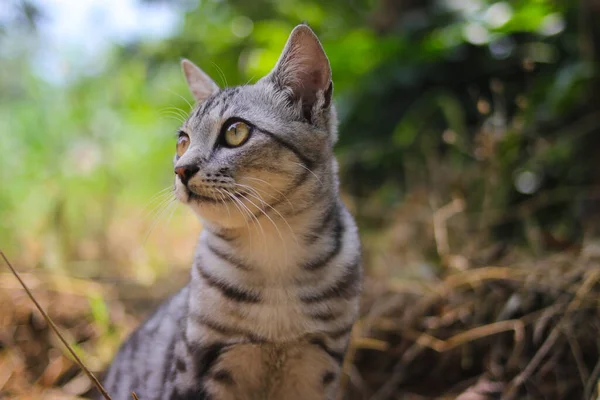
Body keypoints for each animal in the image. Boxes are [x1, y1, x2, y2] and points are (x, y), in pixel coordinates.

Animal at [99, 24, 360, 400]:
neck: (274, 253)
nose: (181, 170)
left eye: (235, 131)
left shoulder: (318, 363)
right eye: (182, 141)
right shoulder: (201, 365)